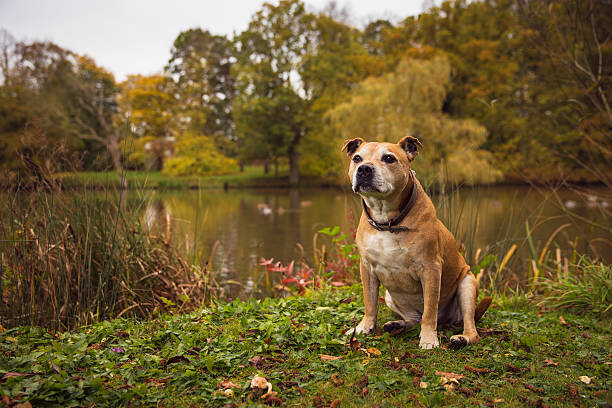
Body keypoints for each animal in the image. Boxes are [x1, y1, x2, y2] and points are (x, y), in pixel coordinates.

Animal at [344, 135, 492, 350]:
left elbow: (430, 309)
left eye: (389, 158)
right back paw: (398, 324)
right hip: (390, 297)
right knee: (414, 318)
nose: (364, 169)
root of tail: (446, 321)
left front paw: (429, 338)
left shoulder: (430, 268)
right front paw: (364, 327)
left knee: (468, 325)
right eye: (357, 158)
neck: (387, 221)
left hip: (467, 285)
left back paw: (461, 338)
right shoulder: (367, 268)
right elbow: (370, 302)